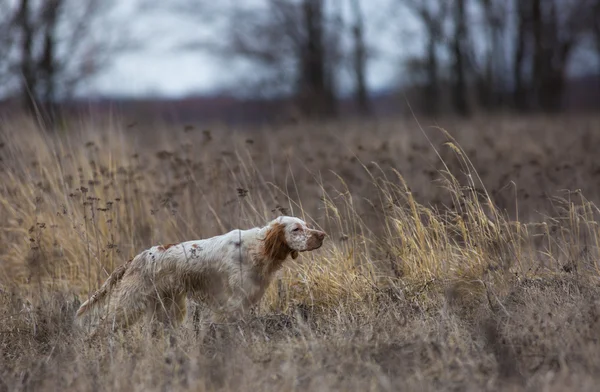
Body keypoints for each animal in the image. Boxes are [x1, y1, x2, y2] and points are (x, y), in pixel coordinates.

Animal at [76, 216, 328, 332]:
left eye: (306, 225)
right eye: (296, 229)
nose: (322, 235)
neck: (259, 248)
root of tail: (137, 258)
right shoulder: (232, 303)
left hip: (168, 307)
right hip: (129, 303)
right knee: (99, 328)